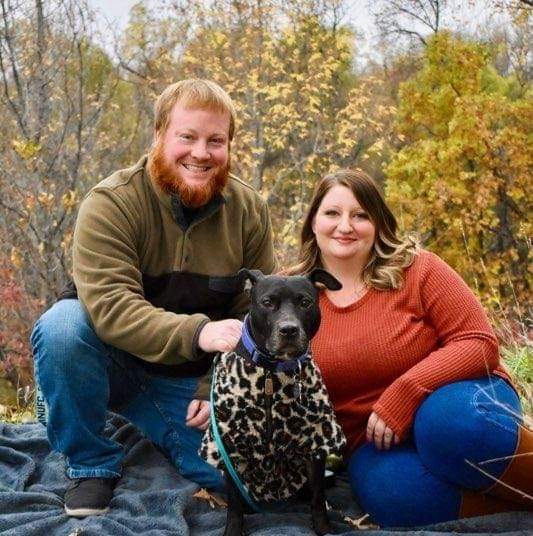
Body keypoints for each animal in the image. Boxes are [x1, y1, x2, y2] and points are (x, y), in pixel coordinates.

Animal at [200, 270, 344, 532]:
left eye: (304, 302)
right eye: (267, 302)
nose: (288, 330)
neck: (272, 371)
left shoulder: (315, 445)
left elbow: (318, 497)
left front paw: (324, 529)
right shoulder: (230, 448)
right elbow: (234, 505)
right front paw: (233, 530)